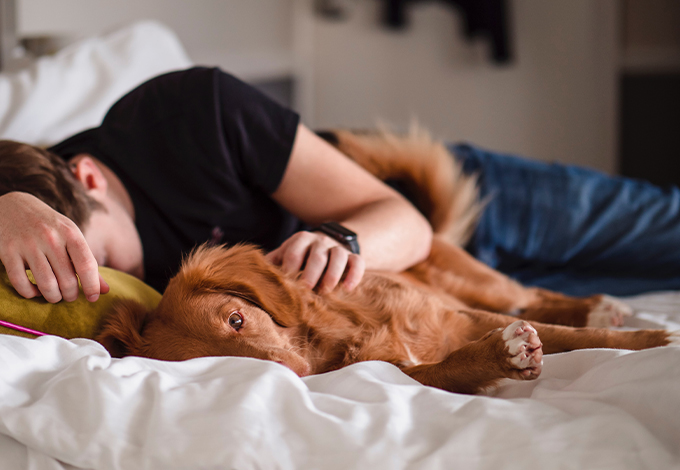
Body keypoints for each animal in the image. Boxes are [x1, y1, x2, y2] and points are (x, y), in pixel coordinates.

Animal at [97, 129, 680, 392]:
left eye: (237, 319)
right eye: (216, 364)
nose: (295, 374)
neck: (337, 334)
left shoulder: (460, 314)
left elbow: (580, 338)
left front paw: (655, 338)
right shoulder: (401, 370)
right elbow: (448, 366)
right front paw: (500, 356)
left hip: (482, 284)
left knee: (534, 294)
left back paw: (600, 306)